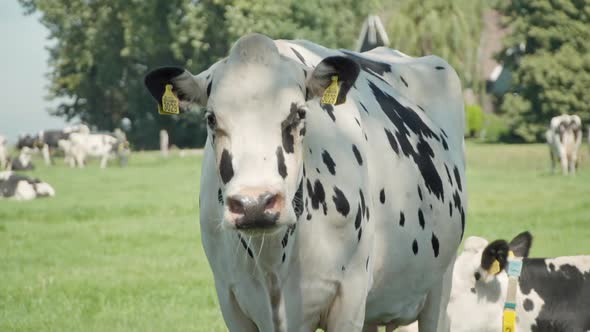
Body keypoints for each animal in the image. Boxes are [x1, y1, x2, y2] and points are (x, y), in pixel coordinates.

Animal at [145, 33, 468, 332]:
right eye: (211, 119)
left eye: (299, 114)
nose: (254, 204)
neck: (273, 263)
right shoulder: (231, 299)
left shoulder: (349, 298)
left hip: (441, 283)